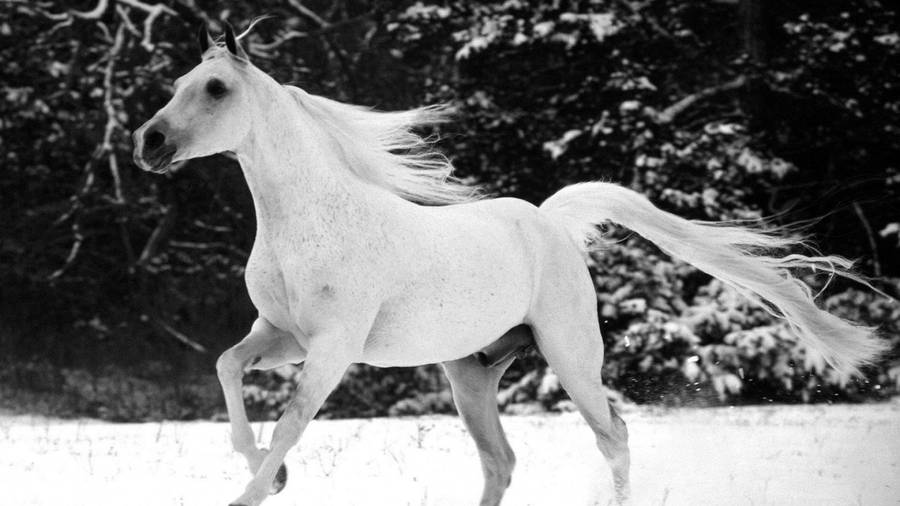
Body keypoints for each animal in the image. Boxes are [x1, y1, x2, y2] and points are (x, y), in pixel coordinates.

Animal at [132, 23, 886, 506]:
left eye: (217, 88)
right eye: (179, 82)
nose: (149, 142)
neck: (310, 222)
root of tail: (550, 222)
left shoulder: (331, 349)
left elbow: (291, 423)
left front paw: (258, 490)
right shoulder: (279, 336)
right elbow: (227, 369)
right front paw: (274, 476)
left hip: (572, 355)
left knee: (613, 437)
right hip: (471, 373)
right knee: (501, 463)